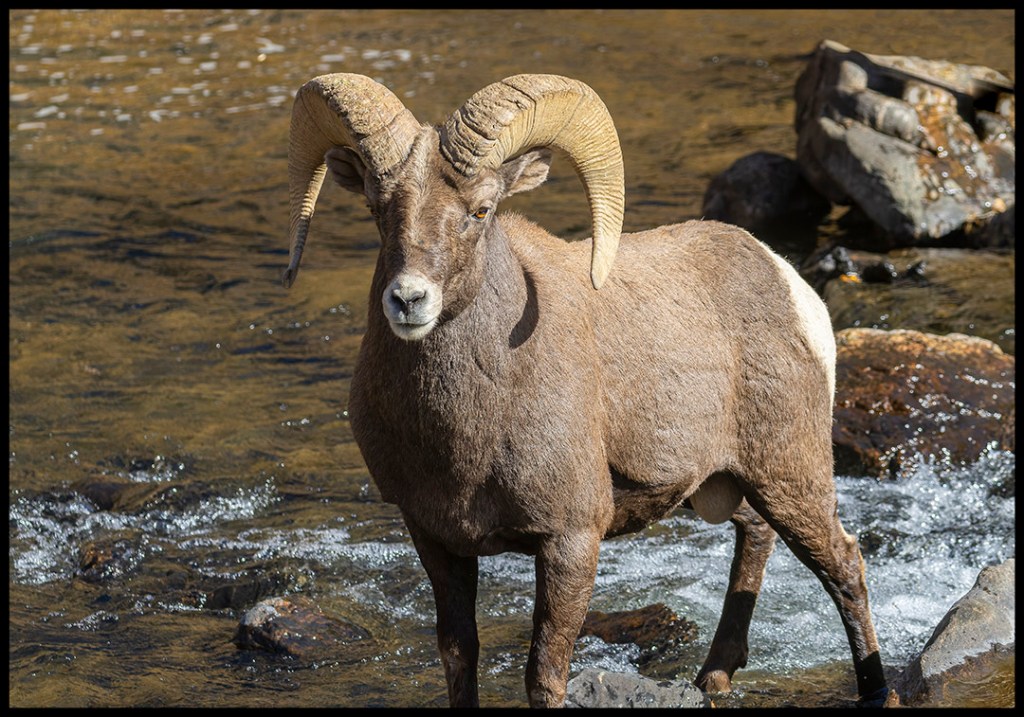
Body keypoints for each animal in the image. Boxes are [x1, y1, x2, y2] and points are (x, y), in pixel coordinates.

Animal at [281, 73, 892, 708]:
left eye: (481, 209)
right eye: (377, 208)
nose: (408, 300)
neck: (466, 432)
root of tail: (788, 280)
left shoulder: (571, 540)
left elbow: (545, 672)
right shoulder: (436, 539)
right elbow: (458, 655)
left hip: (789, 475)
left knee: (843, 564)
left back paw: (876, 690)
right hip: (732, 484)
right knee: (756, 535)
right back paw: (713, 678)